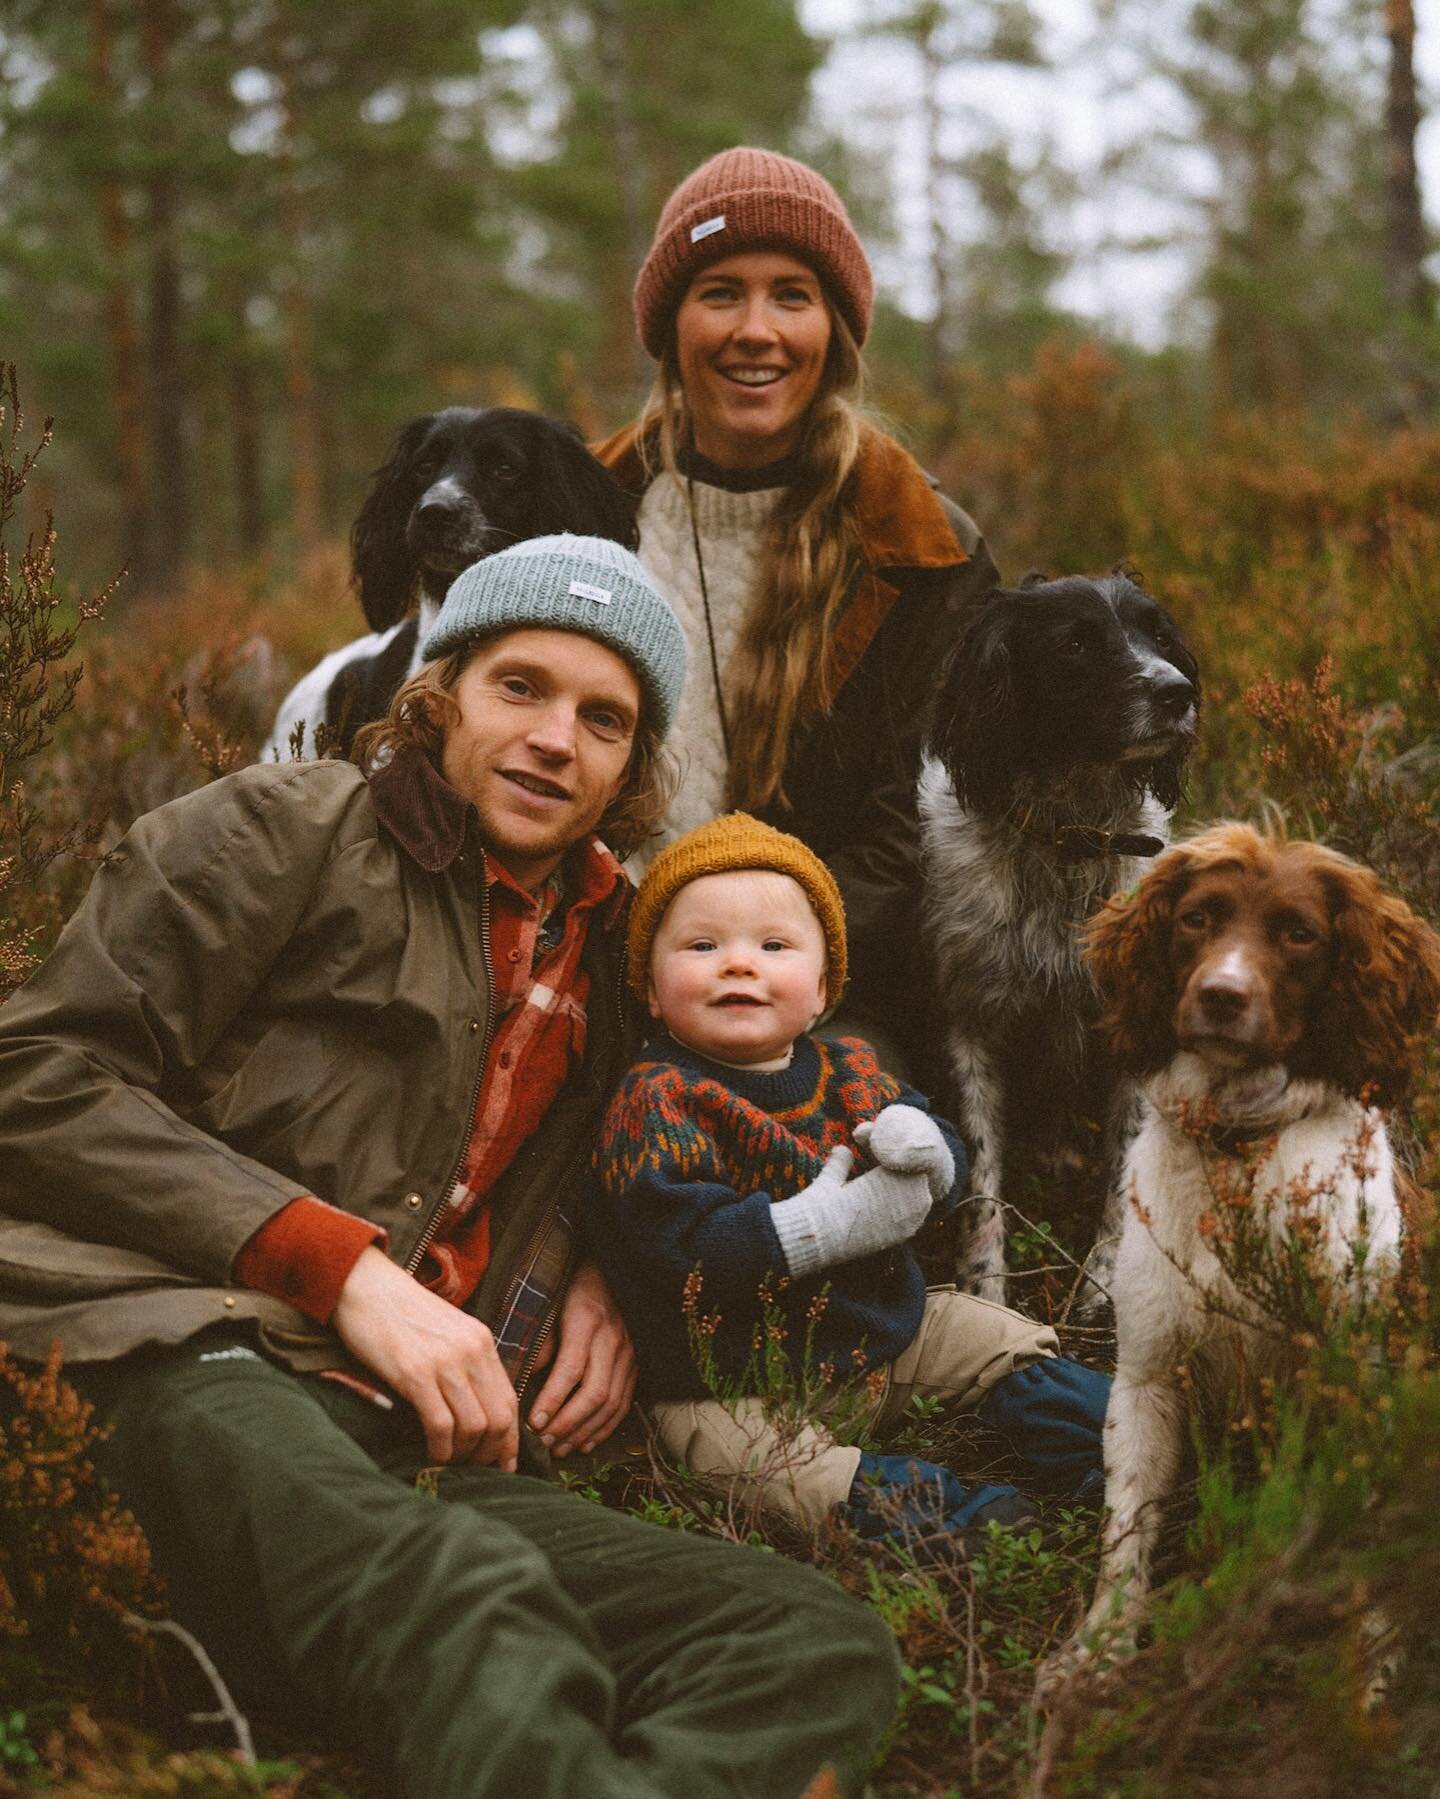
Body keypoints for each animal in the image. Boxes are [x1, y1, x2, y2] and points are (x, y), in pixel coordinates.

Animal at [921, 568, 1202, 1302]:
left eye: (1159, 634)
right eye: (1076, 644)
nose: (1177, 692)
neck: (1071, 836)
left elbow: (1124, 1172)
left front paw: (1105, 1284)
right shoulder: (967, 1021)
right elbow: (982, 1179)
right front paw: (986, 1290)